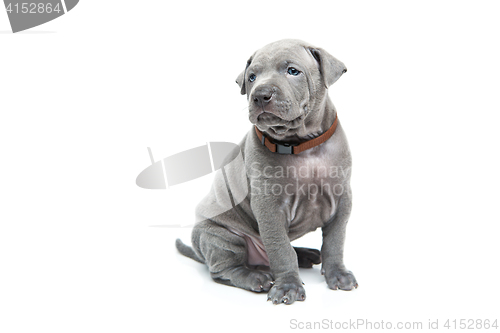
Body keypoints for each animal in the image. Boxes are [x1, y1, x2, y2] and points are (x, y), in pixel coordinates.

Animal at [178, 39, 358, 304]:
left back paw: (305, 254)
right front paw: (288, 287)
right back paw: (256, 278)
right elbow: (280, 249)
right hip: (223, 237)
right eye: (251, 77)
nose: (260, 95)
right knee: (224, 270)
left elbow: (335, 242)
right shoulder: (269, 206)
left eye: (293, 71)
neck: (300, 144)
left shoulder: (342, 198)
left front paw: (338, 274)